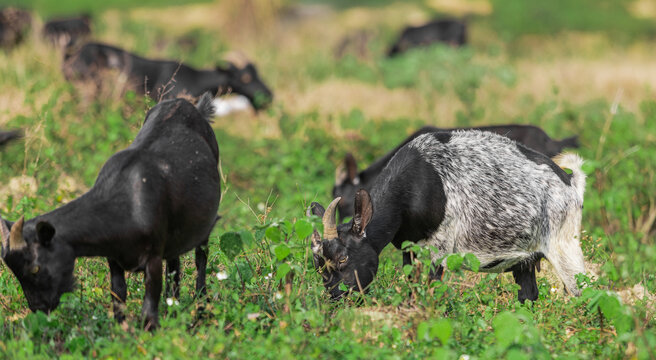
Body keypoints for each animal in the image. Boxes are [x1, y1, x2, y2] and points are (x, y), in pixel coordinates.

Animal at [0, 93, 222, 330]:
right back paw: (174, 308)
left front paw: (151, 330)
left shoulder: (153, 256)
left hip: (204, 226)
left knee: (200, 258)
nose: (39, 308)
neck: (125, 206)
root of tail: (196, 108)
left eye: (35, 268)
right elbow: (118, 295)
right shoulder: (114, 258)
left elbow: (149, 305)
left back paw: (201, 305)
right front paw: (121, 330)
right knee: (174, 265)